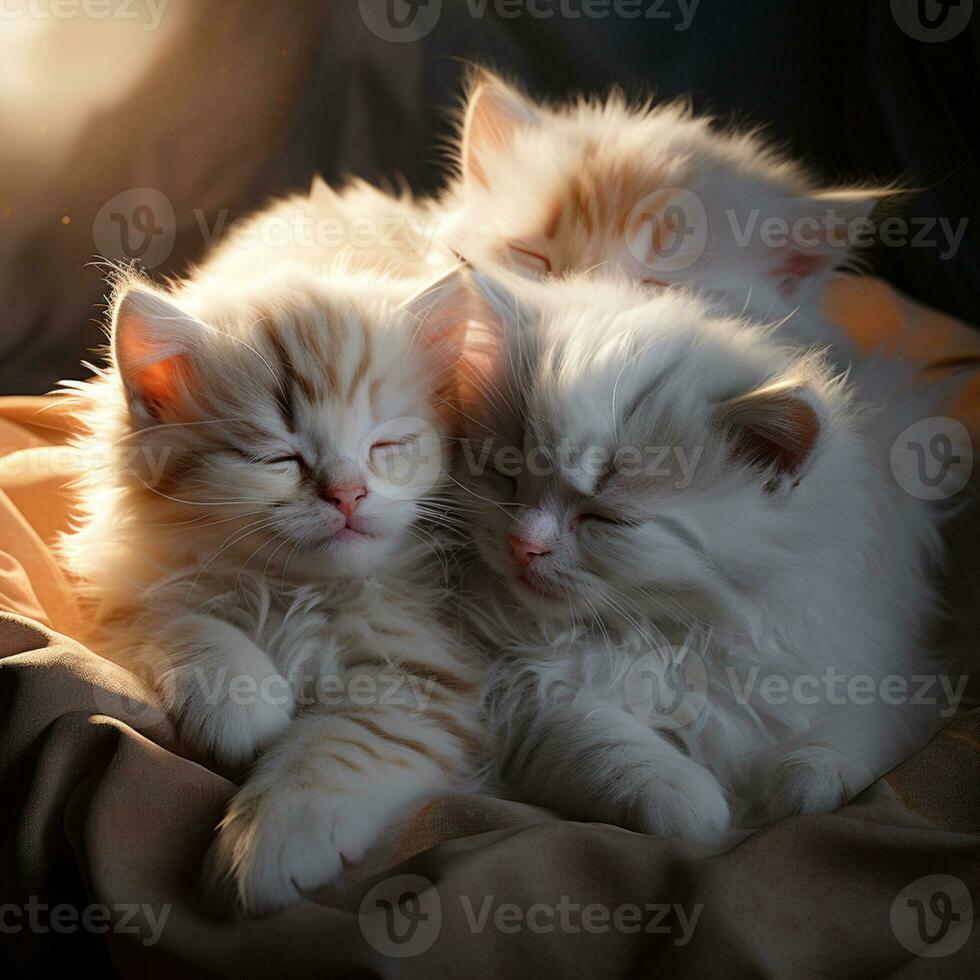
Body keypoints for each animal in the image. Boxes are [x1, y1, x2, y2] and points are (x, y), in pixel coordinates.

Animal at [454, 266, 956, 844]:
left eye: (607, 517)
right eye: (505, 476)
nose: (523, 544)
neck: (673, 634)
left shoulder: (887, 656)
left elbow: (847, 736)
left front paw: (805, 782)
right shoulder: (521, 689)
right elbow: (607, 743)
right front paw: (690, 805)